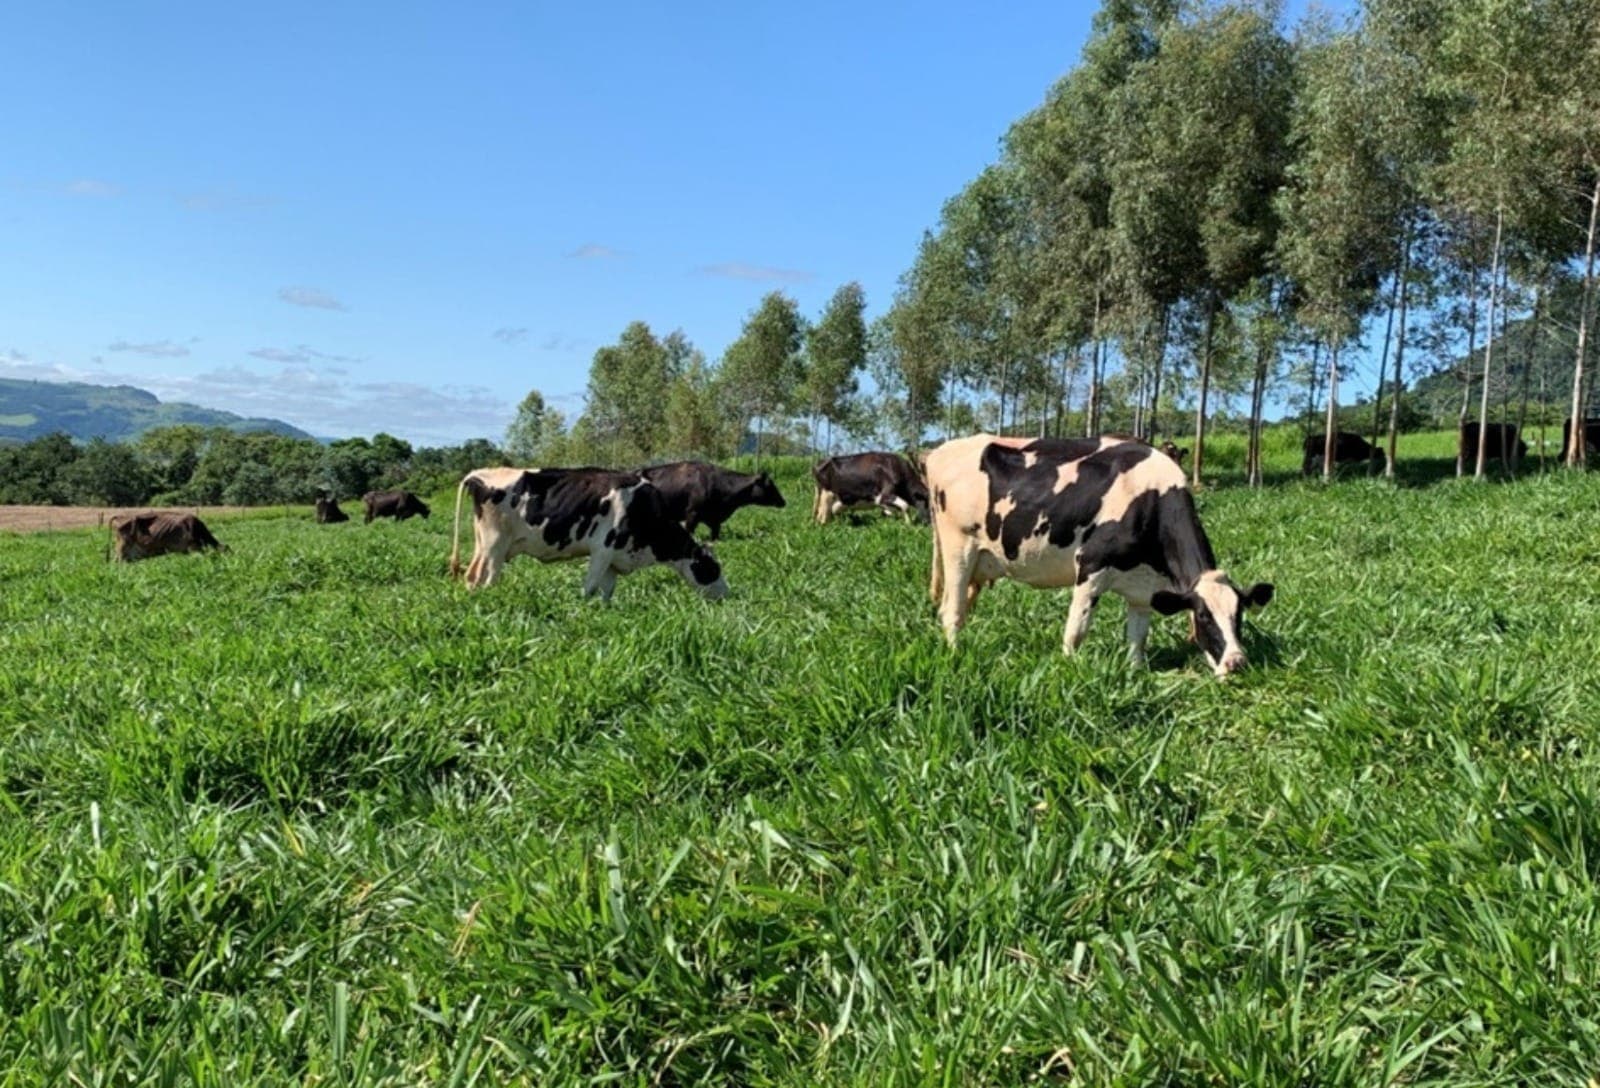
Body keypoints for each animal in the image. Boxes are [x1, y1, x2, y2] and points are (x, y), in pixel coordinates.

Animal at [447, 466, 729, 600]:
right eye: (713, 569)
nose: (726, 595)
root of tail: (481, 474)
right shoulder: (602, 550)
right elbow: (590, 588)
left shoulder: (615, 559)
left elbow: (607, 592)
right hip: (495, 545)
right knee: (486, 580)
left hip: (482, 544)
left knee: (471, 577)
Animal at [637, 461, 786, 540]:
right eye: (770, 485)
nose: (783, 502)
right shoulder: (692, 513)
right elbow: (689, 531)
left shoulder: (714, 520)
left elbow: (715, 535)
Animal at [924, 434, 1273, 678]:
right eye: (1203, 616)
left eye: (1239, 615)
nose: (1237, 662)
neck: (1150, 500)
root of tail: (939, 452)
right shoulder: (1091, 566)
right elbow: (1075, 632)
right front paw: (1069, 671)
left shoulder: (1144, 590)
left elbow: (1138, 638)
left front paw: (1135, 674)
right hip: (959, 549)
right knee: (951, 613)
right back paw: (955, 656)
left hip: (979, 562)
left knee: (954, 609)